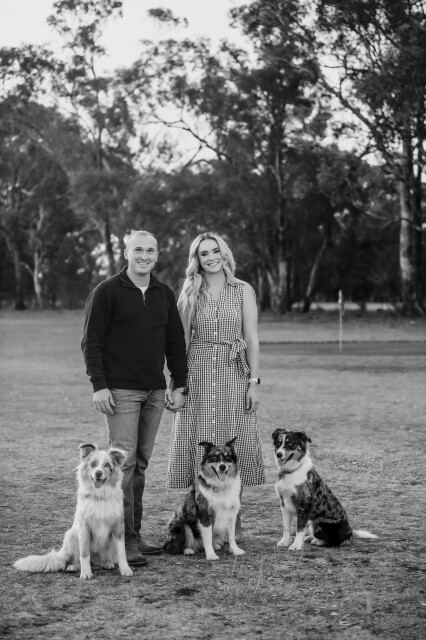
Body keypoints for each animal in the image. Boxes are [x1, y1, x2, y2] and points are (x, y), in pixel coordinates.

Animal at [14, 444, 133, 579]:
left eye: (107, 465)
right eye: (93, 464)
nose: (98, 473)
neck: (99, 496)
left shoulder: (118, 527)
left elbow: (122, 552)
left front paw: (125, 569)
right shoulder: (84, 528)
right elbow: (84, 554)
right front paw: (86, 573)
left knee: (97, 560)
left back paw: (106, 563)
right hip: (71, 535)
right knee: (73, 560)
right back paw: (73, 566)